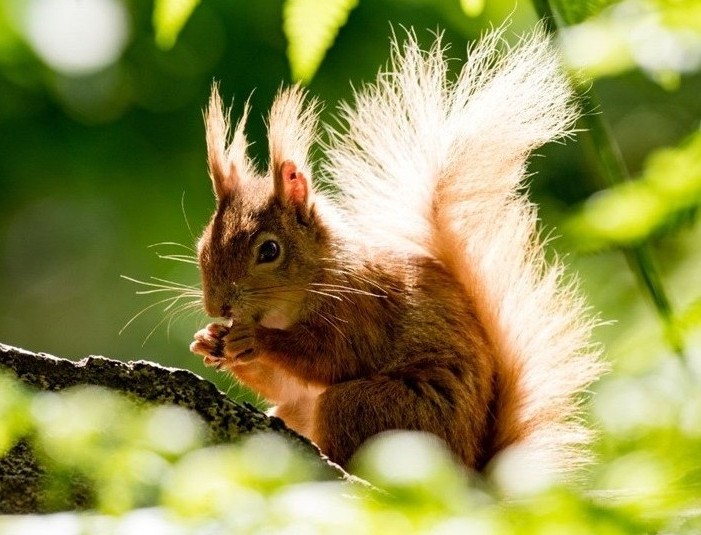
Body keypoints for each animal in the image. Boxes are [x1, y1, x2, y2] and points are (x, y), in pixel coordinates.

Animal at [189, 26, 603, 476]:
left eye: (269, 251)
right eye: (202, 247)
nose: (217, 306)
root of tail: (468, 472)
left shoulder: (361, 307)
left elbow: (331, 359)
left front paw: (256, 339)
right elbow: (285, 384)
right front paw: (208, 339)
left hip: (376, 411)